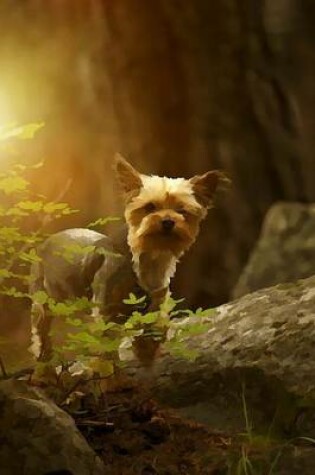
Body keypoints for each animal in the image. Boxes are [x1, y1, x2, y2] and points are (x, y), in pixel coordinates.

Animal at [29, 154, 227, 362]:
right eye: (150, 207)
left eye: (182, 211)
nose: (168, 221)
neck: (150, 257)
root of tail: (45, 242)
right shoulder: (106, 307)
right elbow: (107, 344)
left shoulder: (156, 302)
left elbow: (153, 327)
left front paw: (146, 350)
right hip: (43, 298)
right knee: (42, 328)